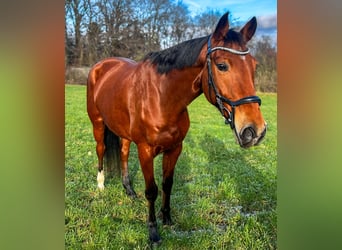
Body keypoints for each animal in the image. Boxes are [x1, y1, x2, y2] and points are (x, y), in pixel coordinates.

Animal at [86, 12, 268, 244]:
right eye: (222, 66)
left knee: (124, 152)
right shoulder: (145, 150)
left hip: (124, 131)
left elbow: (167, 184)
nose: (255, 131)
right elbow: (152, 190)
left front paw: (167, 219)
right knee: (101, 149)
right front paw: (153, 232)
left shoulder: (174, 148)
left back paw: (129, 190)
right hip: (98, 124)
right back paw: (101, 185)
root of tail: (101, 66)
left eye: (254, 66)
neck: (162, 97)